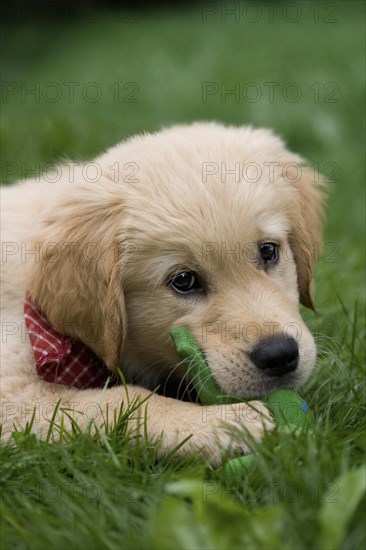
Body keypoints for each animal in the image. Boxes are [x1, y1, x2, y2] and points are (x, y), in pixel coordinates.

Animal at [1, 123, 324, 464]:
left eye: (268, 251)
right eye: (183, 280)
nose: (280, 355)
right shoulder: (13, 393)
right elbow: (120, 400)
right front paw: (225, 422)